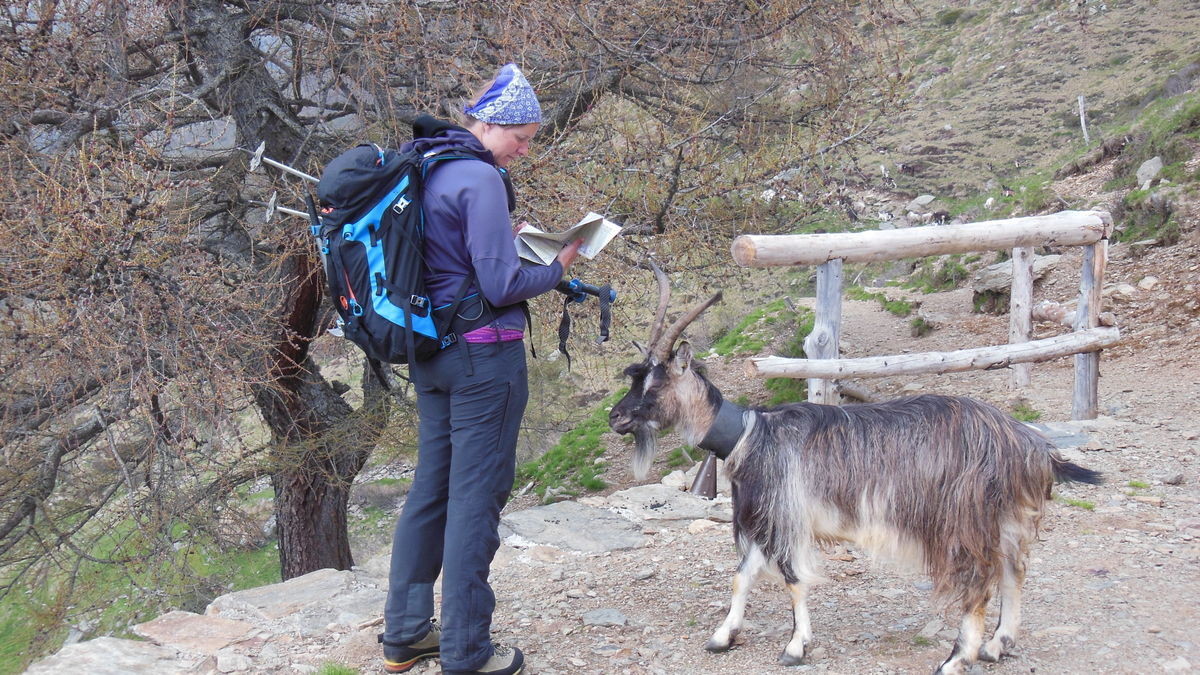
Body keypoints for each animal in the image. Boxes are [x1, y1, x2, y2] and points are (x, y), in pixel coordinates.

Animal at [609, 265, 1104, 667]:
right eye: (635, 377)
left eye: (654, 385)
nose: (615, 418)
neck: (750, 433)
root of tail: (1028, 444)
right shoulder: (762, 519)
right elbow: (742, 576)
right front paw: (722, 637)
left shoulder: (785, 515)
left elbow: (792, 579)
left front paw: (796, 647)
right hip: (1007, 517)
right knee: (1013, 571)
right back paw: (997, 645)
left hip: (962, 520)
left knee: (978, 580)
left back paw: (957, 657)